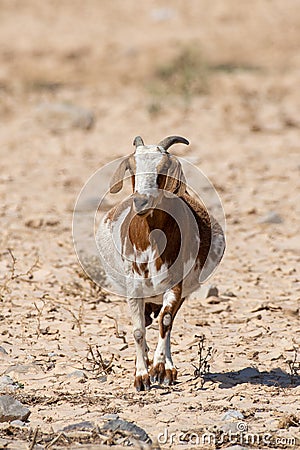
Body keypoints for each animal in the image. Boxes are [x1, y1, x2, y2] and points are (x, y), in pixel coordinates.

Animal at [96, 134, 225, 390]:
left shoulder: (176, 286)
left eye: (163, 168)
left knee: (168, 321)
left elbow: (165, 322)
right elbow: (137, 331)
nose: (141, 201)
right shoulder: (133, 288)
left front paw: (160, 369)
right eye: (131, 167)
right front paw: (141, 376)